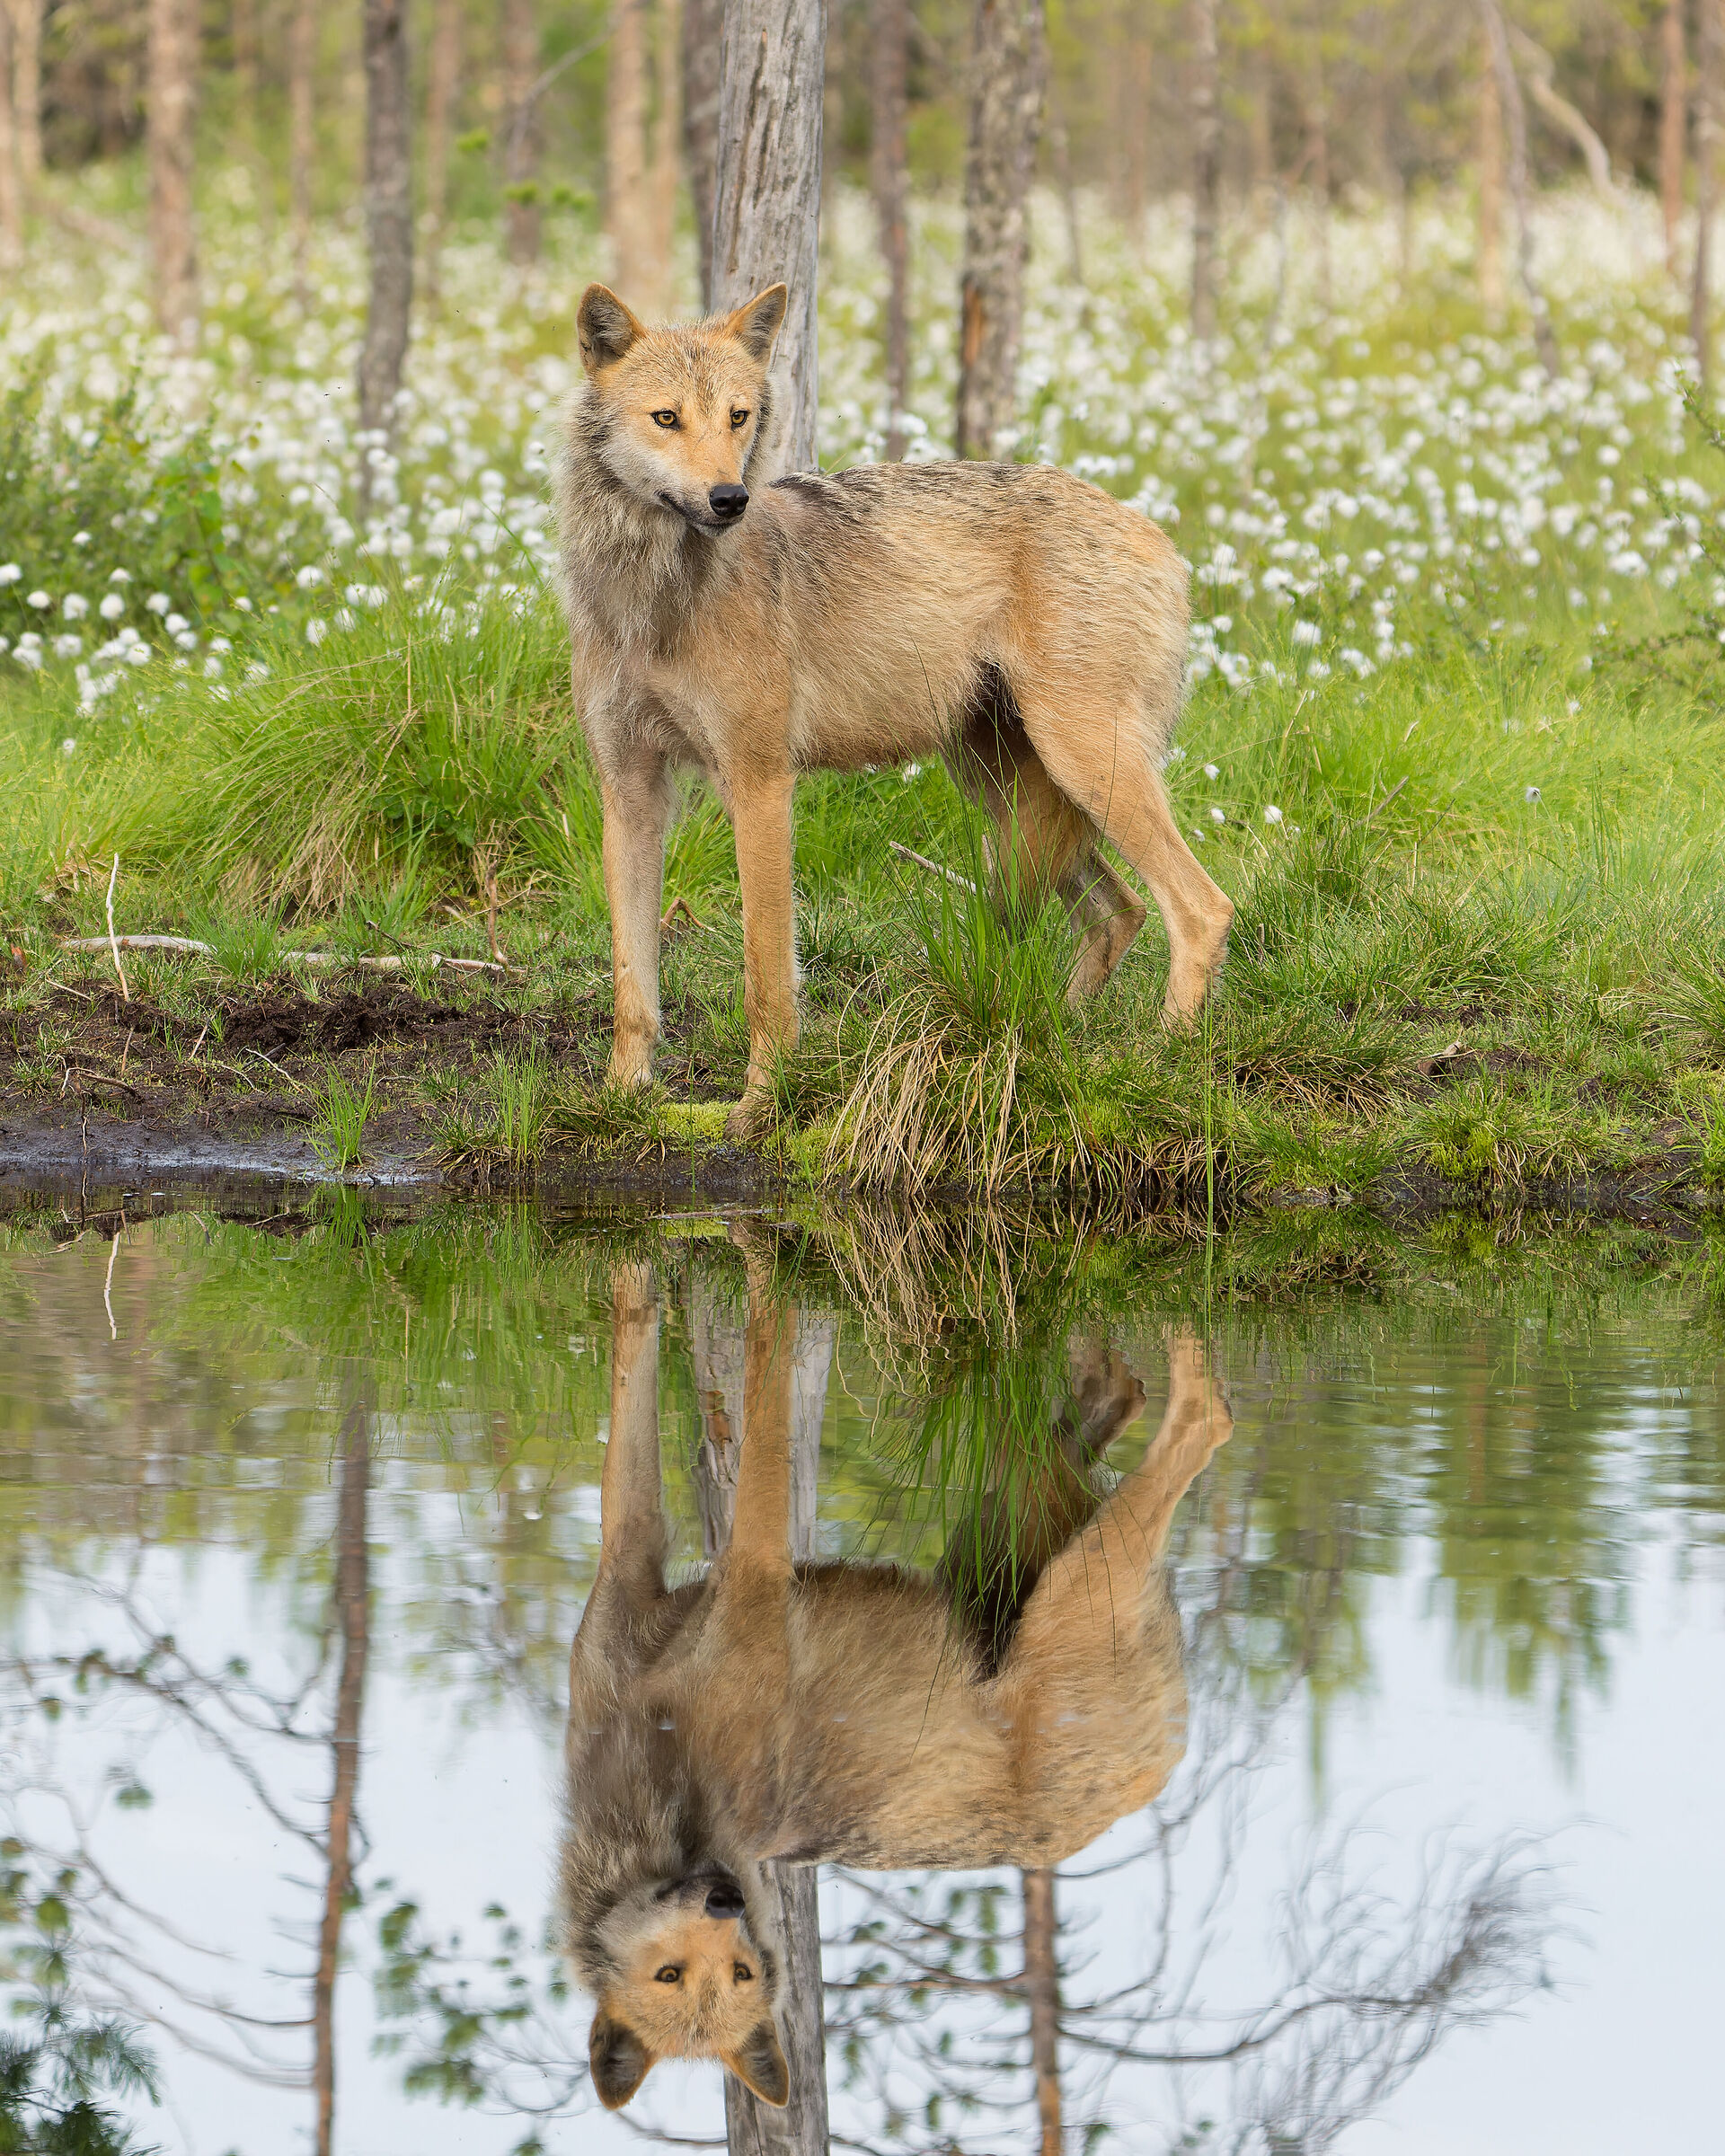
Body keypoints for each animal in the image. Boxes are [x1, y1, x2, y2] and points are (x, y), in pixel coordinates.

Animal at [553, 282, 1234, 1136]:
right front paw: (619, 1099)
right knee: (1121, 913)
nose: (729, 498)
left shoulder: (760, 784)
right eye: (666, 418)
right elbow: (631, 983)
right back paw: (1058, 1042)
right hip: (1009, 786)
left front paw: (761, 1105)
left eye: (737, 417)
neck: (652, 599)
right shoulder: (629, 792)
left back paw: (1158, 1063)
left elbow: (766, 976)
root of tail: (1162, 537)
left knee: (1200, 909)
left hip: (1082, 767)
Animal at [561, 1266, 1231, 2110]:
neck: (653, 1793)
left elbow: (709, 1358)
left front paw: (727, 1258)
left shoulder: (729, 1567)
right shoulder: (693, 1571)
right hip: (1026, 1548)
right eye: (671, 1975)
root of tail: (1165, 1760)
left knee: (1195, 1413)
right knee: (1134, 1404)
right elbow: (674, 1360)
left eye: (740, 1972)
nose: (726, 1898)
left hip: (1050, 1566)